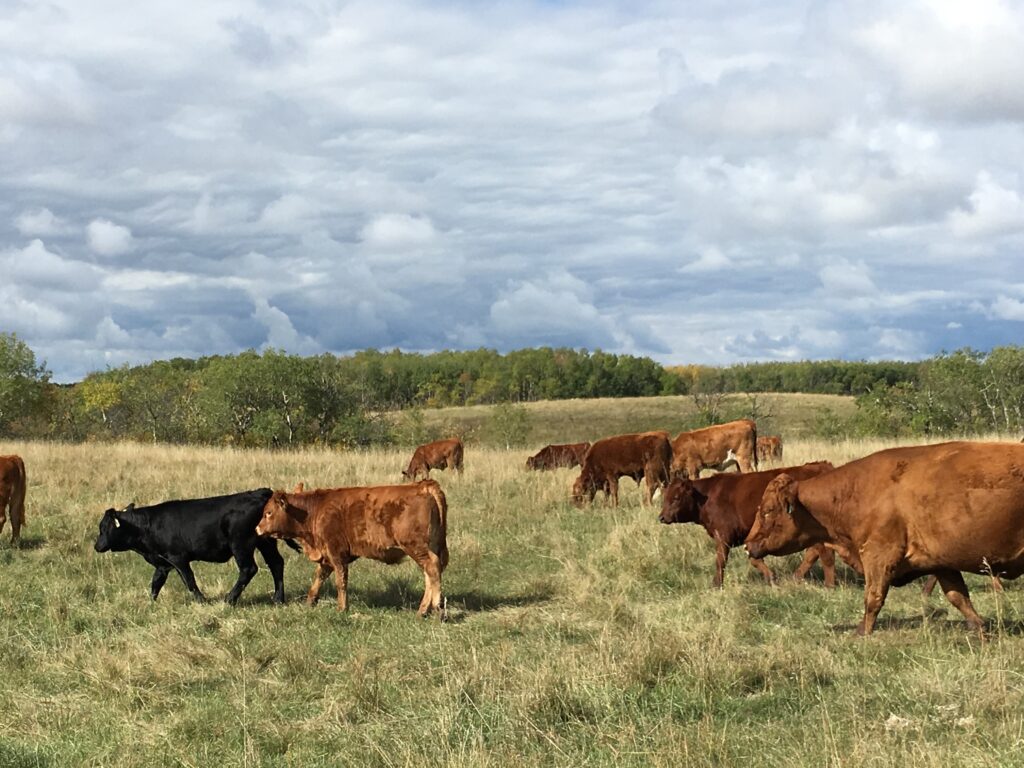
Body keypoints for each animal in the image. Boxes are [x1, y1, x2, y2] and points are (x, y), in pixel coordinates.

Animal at [93, 489, 296, 606]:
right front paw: (150, 603)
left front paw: (202, 601)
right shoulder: (163, 563)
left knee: (249, 569)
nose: (96, 546)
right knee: (276, 563)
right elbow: (156, 582)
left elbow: (189, 580)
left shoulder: (178, 558)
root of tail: (258, 493)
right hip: (265, 542)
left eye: (103, 528)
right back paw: (278, 599)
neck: (147, 526)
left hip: (241, 544)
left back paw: (229, 599)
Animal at [253, 481, 446, 618]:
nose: (257, 529)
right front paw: (310, 601)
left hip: (416, 547)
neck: (314, 510)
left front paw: (342, 608)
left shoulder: (336, 553)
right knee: (430, 574)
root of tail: (423, 486)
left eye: (268, 513)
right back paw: (424, 610)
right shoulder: (327, 556)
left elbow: (341, 581)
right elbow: (319, 577)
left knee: (432, 568)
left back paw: (436, 609)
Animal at [659, 462, 835, 589]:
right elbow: (753, 558)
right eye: (665, 497)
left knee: (819, 552)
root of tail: (822, 466)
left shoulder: (724, 536)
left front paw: (716, 584)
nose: (661, 517)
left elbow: (721, 561)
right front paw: (770, 577)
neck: (708, 496)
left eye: (676, 498)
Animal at [745, 442, 1024, 634]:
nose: (748, 545)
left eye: (768, 510)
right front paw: (980, 628)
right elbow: (958, 597)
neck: (856, 492)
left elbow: (873, 597)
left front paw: (861, 632)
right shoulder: (942, 563)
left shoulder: (878, 555)